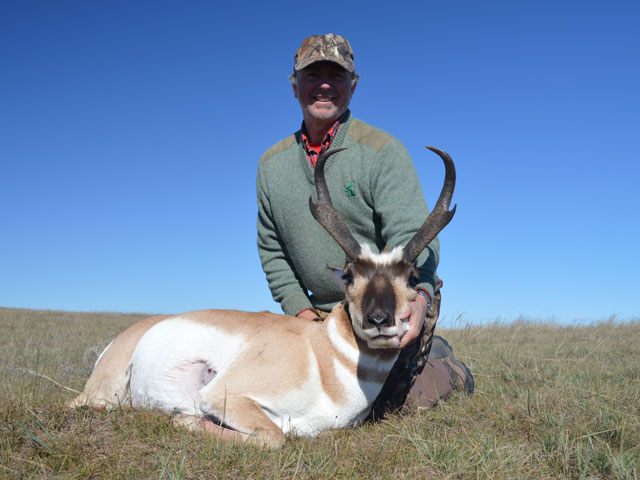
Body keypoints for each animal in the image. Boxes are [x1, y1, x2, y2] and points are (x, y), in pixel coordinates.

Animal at [70, 145, 456, 446]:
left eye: (410, 277)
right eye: (349, 275)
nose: (378, 320)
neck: (323, 354)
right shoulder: (224, 395)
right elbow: (275, 436)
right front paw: (184, 419)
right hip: (103, 392)